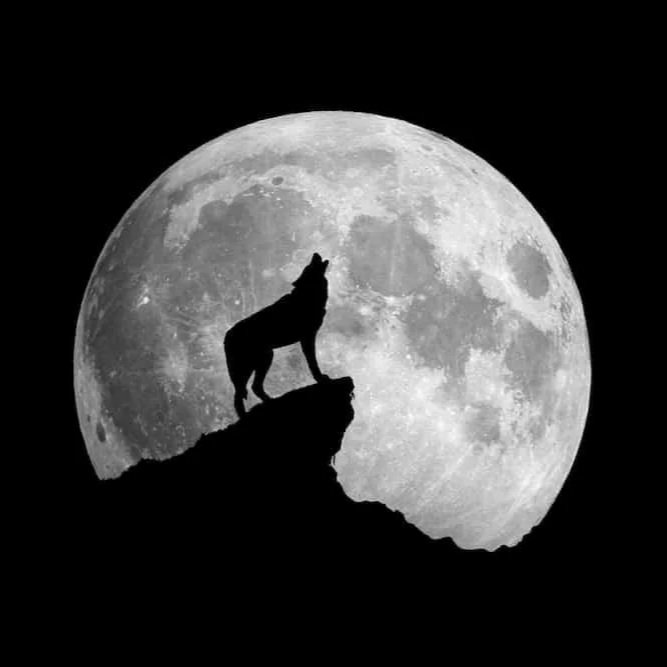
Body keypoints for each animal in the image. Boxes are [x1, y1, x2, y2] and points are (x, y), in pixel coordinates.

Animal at [224, 252, 331, 418]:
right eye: (308, 266)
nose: (315, 254)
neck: (306, 296)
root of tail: (226, 336)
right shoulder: (307, 338)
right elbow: (313, 363)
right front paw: (320, 379)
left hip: (263, 359)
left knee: (251, 388)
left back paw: (269, 402)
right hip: (252, 365)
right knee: (240, 394)